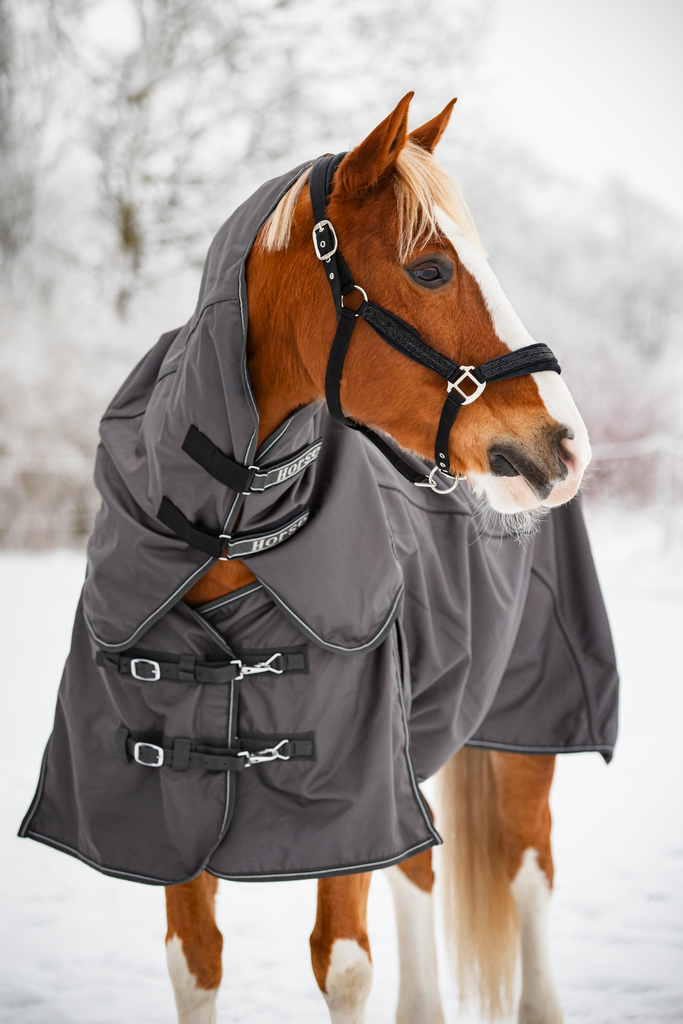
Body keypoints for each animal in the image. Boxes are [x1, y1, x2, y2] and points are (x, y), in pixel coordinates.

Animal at [159, 93, 590, 1024]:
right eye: (429, 270)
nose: (566, 443)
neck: (230, 543)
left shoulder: (352, 800)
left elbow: (344, 964)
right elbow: (195, 961)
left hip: (525, 735)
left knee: (529, 873)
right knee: (422, 868)